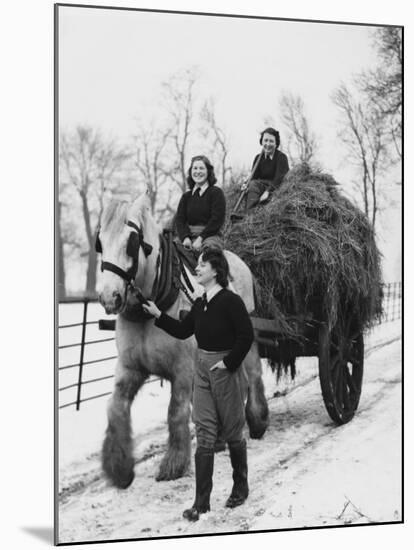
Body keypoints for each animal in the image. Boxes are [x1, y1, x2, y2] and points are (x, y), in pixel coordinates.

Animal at [97, 195, 268, 492]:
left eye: (132, 241)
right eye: (100, 241)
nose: (110, 297)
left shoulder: (183, 370)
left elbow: (175, 411)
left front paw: (174, 463)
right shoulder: (130, 368)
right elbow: (115, 407)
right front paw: (118, 467)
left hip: (245, 335)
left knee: (253, 372)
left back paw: (258, 420)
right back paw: (221, 437)